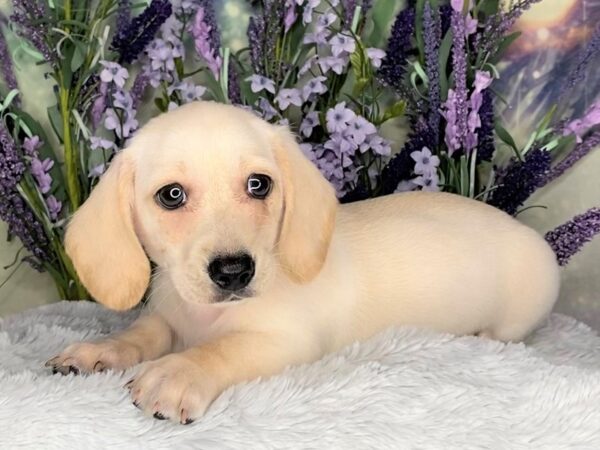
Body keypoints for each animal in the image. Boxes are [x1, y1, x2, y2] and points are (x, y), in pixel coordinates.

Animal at [45, 100, 556, 424]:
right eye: (171, 196)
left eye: (259, 185)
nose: (234, 272)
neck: (205, 316)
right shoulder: (168, 318)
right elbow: (139, 334)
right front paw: (97, 351)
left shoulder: (284, 341)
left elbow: (219, 351)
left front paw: (178, 372)